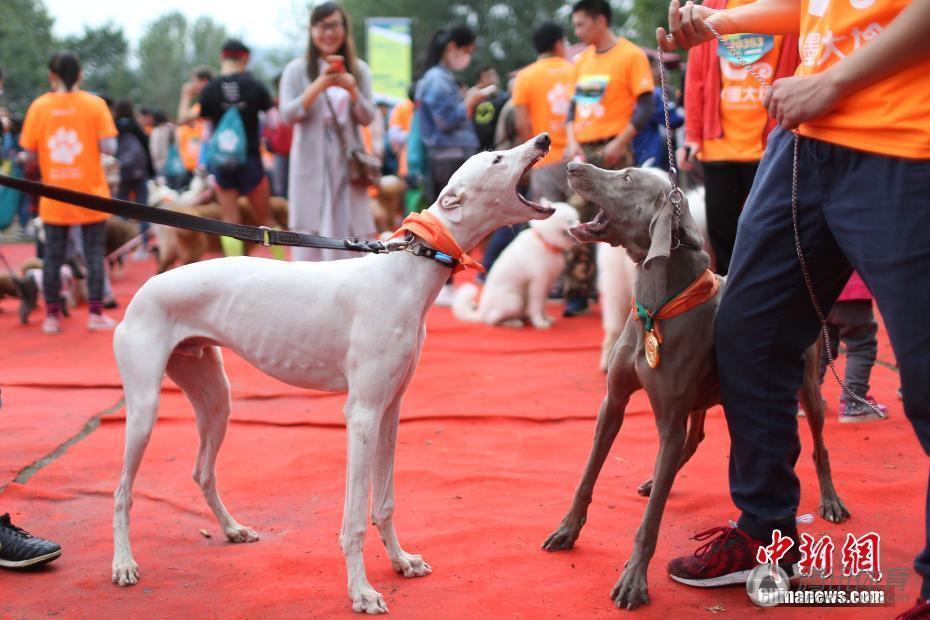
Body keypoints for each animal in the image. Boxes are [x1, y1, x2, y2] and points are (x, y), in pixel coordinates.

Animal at [112, 133, 556, 612]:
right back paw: (123, 564)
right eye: (495, 158)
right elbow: (355, 518)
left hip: (215, 398)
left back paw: (232, 529)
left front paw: (401, 561)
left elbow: (385, 503)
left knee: (202, 471)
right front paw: (361, 591)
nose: (544, 139)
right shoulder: (361, 415)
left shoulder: (389, 410)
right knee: (122, 492)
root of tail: (143, 289)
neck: (406, 270)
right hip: (144, 408)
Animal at [452, 202, 576, 330]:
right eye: (569, 221)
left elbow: (542, 305)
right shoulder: (538, 284)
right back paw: (512, 322)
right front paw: (539, 322)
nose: (578, 227)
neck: (545, 241)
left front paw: (546, 318)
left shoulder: (548, 283)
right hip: (515, 301)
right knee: (491, 320)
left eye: (577, 219)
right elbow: (537, 305)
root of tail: (481, 311)